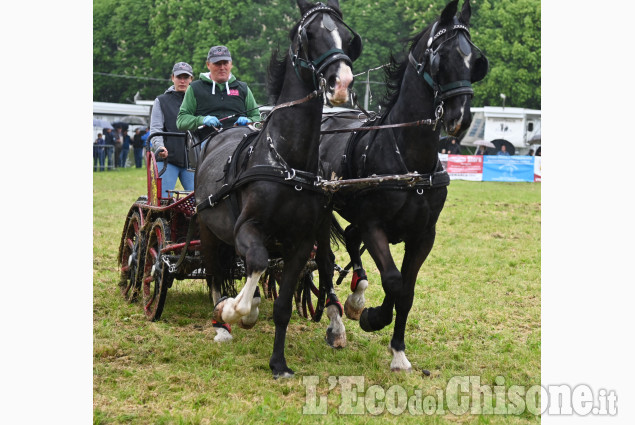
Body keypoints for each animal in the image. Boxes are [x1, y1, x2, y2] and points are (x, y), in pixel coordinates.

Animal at [194, 0, 360, 378]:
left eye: (347, 37)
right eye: (309, 34)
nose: (341, 83)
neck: (286, 160)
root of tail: (222, 132)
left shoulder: (300, 242)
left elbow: (282, 304)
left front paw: (278, 363)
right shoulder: (247, 227)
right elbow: (255, 262)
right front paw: (235, 310)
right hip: (208, 228)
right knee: (214, 273)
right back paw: (222, 322)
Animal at [320, 0, 490, 372]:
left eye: (475, 60)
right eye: (442, 58)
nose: (461, 118)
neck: (410, 160)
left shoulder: (424, 235)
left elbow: (407, 292)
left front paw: (398, 350)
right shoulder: (375, 226)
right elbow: (394, 281)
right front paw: (373, 318)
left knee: (350, 240)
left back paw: (355, 295)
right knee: (324, 260)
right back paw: (339, 317)